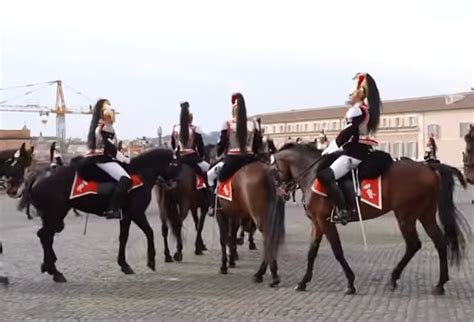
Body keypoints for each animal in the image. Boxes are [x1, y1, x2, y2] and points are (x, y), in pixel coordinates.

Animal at [11, 148, 181, 282]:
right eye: (176, 164)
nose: (175, 183)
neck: (140, 173)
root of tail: (38, 175)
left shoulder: (126, 215)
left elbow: (123, 238)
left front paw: (124, 264)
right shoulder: (136, 213)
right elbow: (149, 232)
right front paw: (151, 261)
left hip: (52, 216)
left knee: (46, 236)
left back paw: (49, 266)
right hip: (55, 214)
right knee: (45, 236)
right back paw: (55, 271)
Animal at [272, 143, 472, 294]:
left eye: (273, 168)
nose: (280, 191)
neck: (313, 174)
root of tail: (428, 166)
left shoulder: (324, 221)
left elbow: (337, 251)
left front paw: (350, 283)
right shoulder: (317, 222)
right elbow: (312, 252)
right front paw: (303, 281)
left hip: (406, 216)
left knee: (414, 244)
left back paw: (396, 278)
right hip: (425, 215)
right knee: (439, 242)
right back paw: (439, 284)